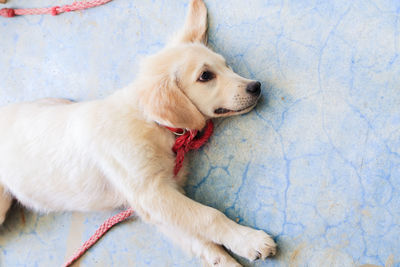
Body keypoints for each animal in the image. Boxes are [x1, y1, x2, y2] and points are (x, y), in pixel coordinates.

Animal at [0, 1, 276, 266]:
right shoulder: (152, 194)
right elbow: (209, 217)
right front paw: (250, 240)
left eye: (227, 65)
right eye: (206, 76)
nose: (256, 86)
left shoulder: (157, 205)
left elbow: (200, 241)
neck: (151, 122)